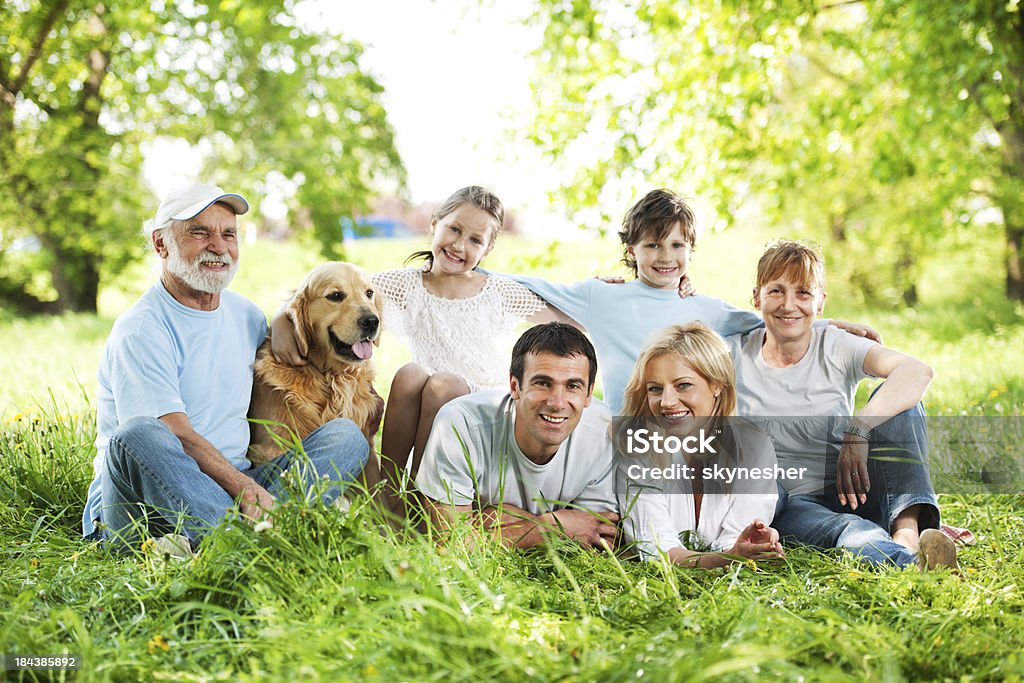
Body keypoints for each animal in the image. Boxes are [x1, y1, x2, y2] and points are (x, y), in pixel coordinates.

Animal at [249, 264, 385, 483]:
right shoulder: (271, 447)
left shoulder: (367, 445)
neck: (330, 376)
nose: (372, 321)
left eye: (369, 293)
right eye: (335, 295)